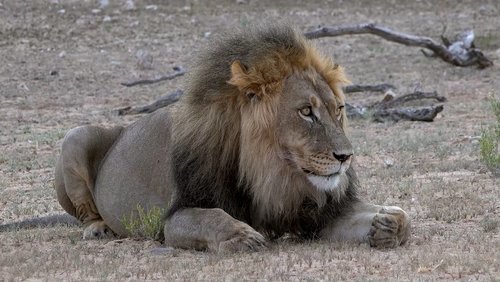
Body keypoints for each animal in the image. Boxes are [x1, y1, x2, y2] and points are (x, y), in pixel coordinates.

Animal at [53, 25, 410, 250]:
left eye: (339, 110)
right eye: (306, 111)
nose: (345, 157)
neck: (273, 173)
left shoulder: (320, 214)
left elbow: (399, 218)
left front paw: (387, 223)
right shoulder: (178, 213)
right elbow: (210, 218)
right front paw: (242, 236)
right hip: (76, 136)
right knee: (85, 210)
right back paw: (98, 228)